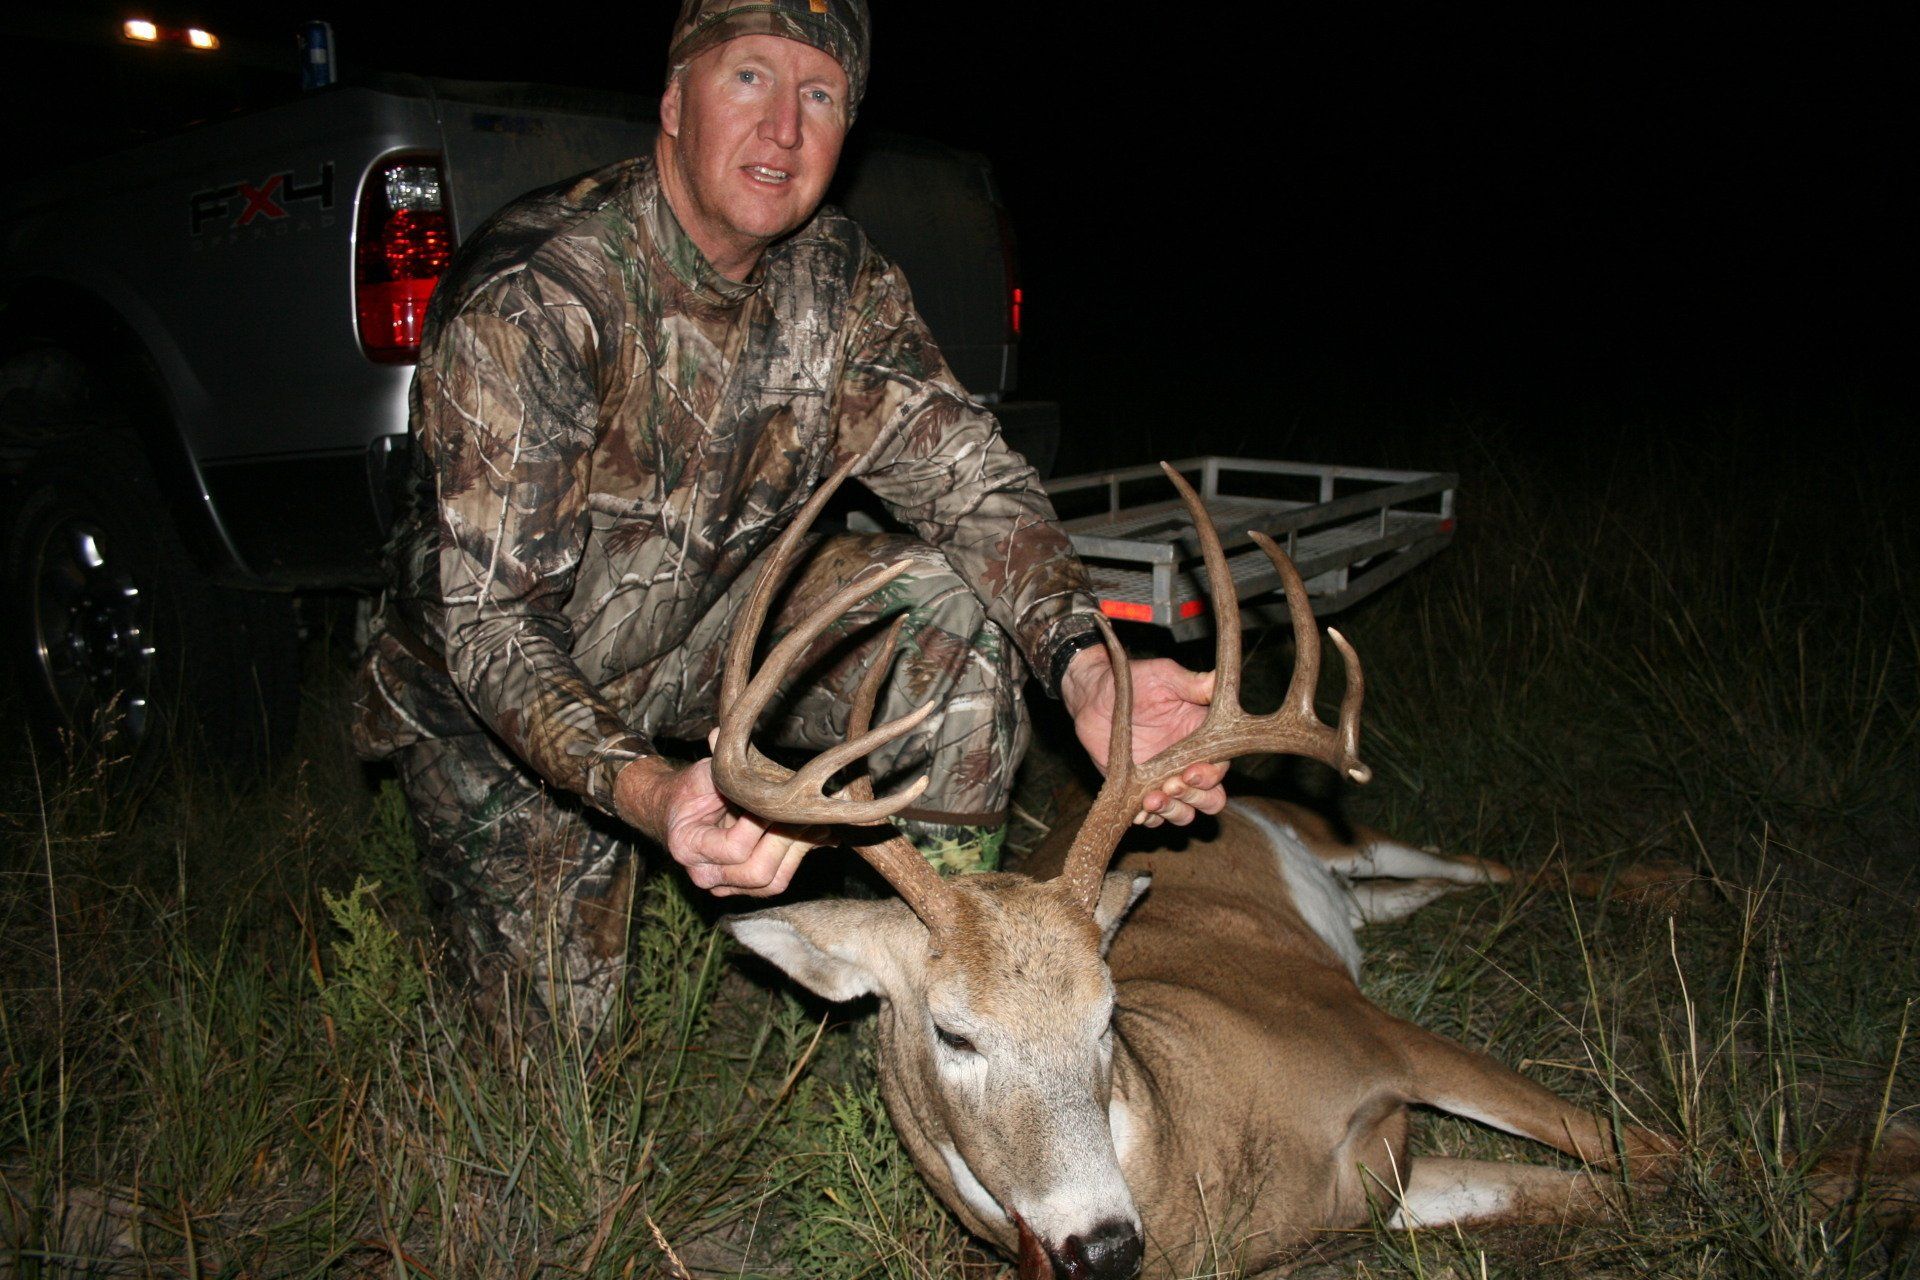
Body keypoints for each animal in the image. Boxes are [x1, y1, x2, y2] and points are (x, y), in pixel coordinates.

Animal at [712, 458, 1677, 1279]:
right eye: (953, 1033)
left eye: (1107, 1014)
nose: (1104, 1246)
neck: (1191, 1147)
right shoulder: (1386, 1183)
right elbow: (1582, 1193)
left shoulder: (1372, 1033)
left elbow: (1646, 1154)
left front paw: (1702, 1170)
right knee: (1402, 899)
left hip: (1333, 830)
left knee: (1477, 865)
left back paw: (1654, 882)